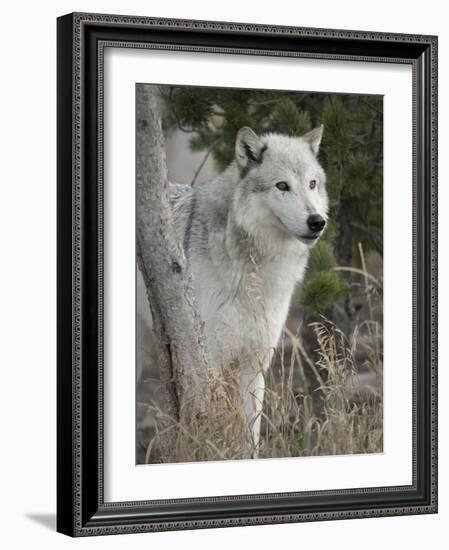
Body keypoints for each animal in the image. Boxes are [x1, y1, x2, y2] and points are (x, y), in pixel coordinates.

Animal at [136, 124, 326, 458]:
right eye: (282, 186)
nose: (317, 221)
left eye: (312, 183)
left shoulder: (256, 361)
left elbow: (251, 433)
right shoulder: (210, 357)